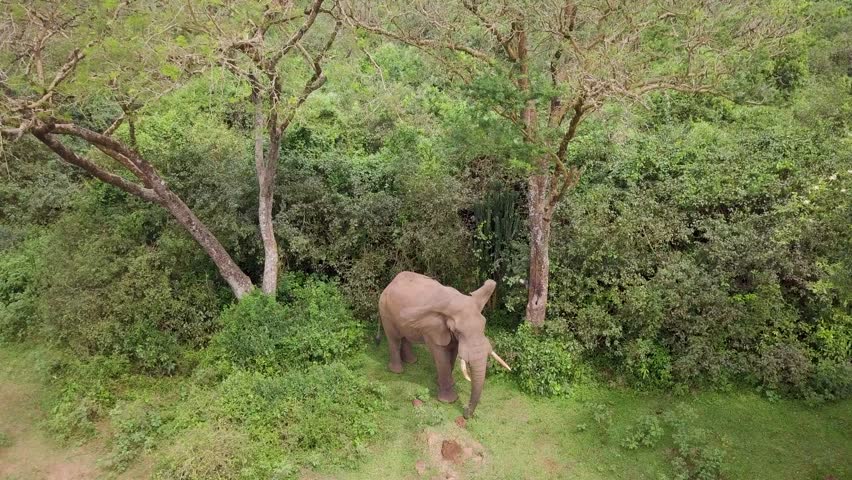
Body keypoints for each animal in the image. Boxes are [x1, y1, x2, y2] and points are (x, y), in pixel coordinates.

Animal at [379, 271, 511, 418]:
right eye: (458, 331)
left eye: (484, 324)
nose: (466, 412)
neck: (453, 302)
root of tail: (391, 282)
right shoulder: (432, 330)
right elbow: (441, 357)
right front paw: (449, 401)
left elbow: (452, 354)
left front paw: (444, 382)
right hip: (385, 311)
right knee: (394, 339)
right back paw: (397, 371)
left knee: (406, 335)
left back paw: (412, 361)